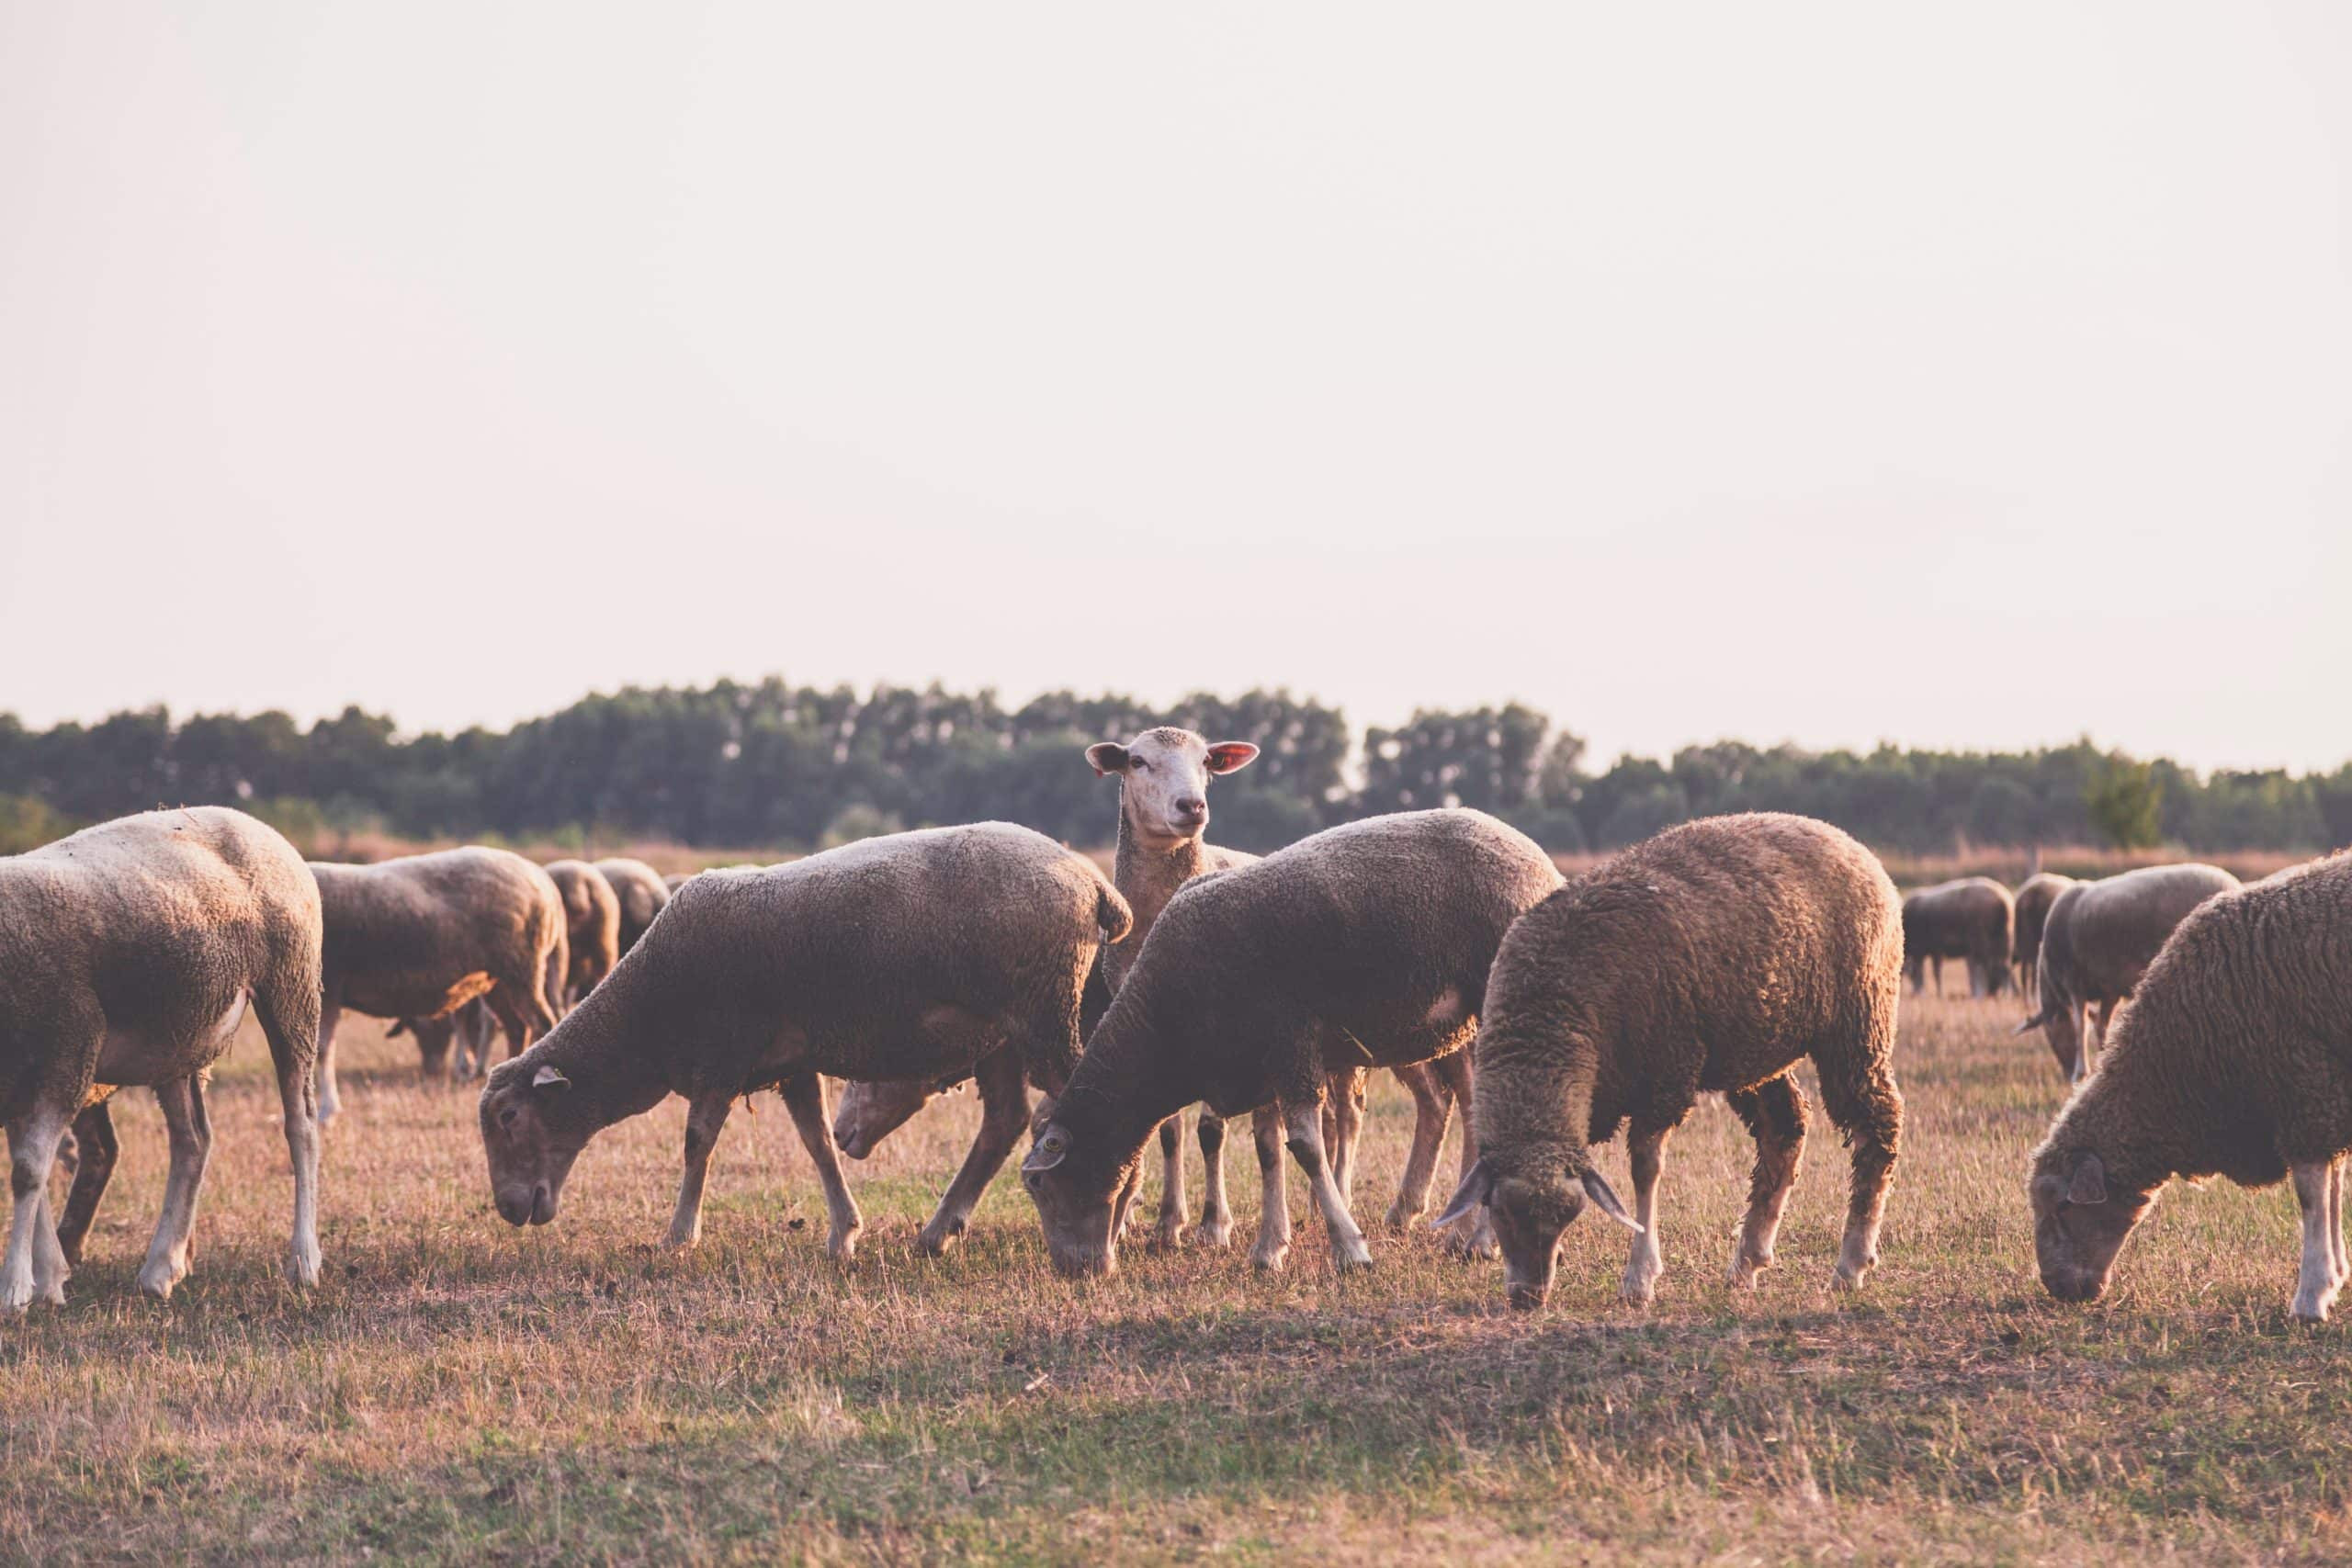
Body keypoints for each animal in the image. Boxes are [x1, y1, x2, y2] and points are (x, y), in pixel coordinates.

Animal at [0, 806, 325, 1307]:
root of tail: (256, 823)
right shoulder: (20, 1077)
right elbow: (30, 1170)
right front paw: (50, 1278)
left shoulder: (67, 1051)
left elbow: (28, 1173)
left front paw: (16, 1286)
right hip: (180, 1037)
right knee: (193, 1141)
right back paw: (160, 1269)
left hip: (292, 987)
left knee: (301, 1126)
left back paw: (304, 1261)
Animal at [311, 848, 569, 1124]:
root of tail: (542, 879)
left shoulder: (330, 985)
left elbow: (323, 1049)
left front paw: (327, 1111)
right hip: (497, 980)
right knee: (517, 1028)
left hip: (522, 967)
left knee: (541, 1023)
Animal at [1020, 808, 1562, 1277]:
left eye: (1040, 1183)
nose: (1075, 1270)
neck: (1166, 1023)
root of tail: (1538, 859)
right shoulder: (1264, 1063)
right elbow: (1268, 1150)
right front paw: (1269, 1249)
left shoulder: (1290, 1044)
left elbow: (1304, 1147)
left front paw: (1349, 1249)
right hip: (1458, 1025)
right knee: (1471, 1109)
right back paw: (1463, 1235)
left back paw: (1483, 1241)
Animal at [1432, 813, 1904, 1310]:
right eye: (1499, 1211)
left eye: (1568, 1216)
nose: (1529, 1297)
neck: (1552, 1010)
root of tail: (1845, 840)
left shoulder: (1665, 1077)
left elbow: (1645, 1170)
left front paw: (1640, 1277)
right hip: (1758, 1049)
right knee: (1784, 1128)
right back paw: (1747, 1261)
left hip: (1857, 1024)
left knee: (1877, 1129)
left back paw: (1851, 1263)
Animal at [1900, 876, 2014, 996]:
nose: (1991, 993)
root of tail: (2002, 901)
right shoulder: (1934, 951)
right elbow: (1933, 972)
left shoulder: (1924, 950)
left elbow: (1925, 973)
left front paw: (1926, 993)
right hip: (2004, 939)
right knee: (2004, 968)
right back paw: (2004, 994)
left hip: (1982, 940)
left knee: (1987, 968)